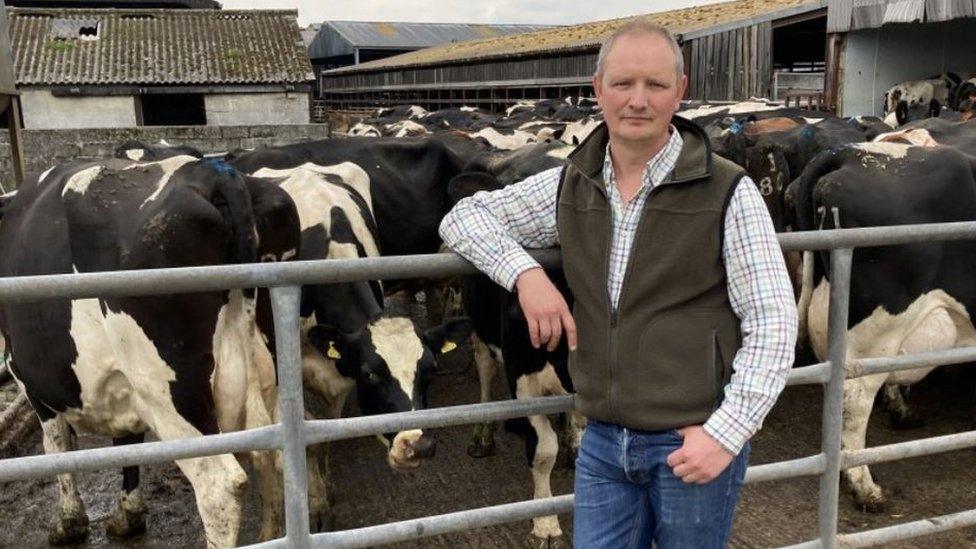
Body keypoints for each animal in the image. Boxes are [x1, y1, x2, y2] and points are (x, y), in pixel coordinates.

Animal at [0, 156, 298, 544]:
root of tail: (214, 171)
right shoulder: (120, 386)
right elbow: (127, 446)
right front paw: (127, 515)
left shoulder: (33, 382)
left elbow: (58, 448)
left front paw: (68, 521)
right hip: (264, 374)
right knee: (274, 460)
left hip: (171, 393)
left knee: (219, 487)